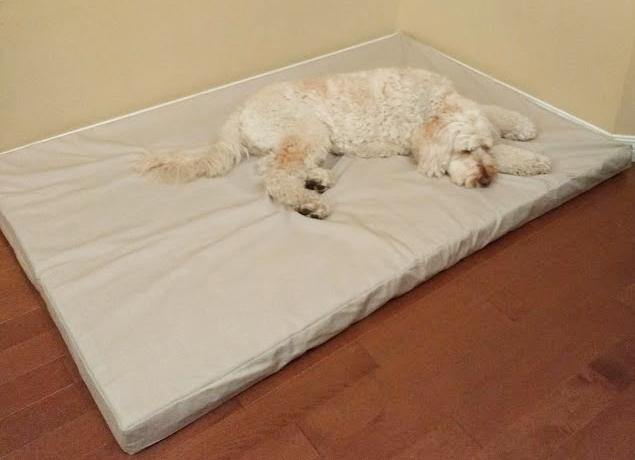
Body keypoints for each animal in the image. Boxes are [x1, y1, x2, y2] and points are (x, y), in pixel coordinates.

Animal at [139, 68, 552, 219]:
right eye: (464, 151)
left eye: (483, 149)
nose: (486, 179)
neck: (431, 104)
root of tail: (240, 112)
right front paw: (529, 158)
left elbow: (494, 113)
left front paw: (524, 133)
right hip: (308, 130)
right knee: (275, 174)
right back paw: (309, 201)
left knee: (274, 166)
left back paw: (318, 179)